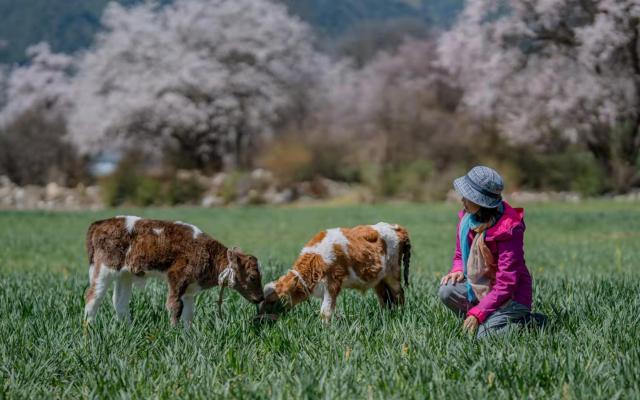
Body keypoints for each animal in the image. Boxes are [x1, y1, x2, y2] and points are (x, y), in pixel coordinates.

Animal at [84, 217, 264, 326]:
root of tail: (101, 223)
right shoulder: (177, 278)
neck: (207, 252)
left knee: (119, 302)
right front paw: (174, 332)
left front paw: (187, 336)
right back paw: (90, 330)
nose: (261, 298)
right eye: (252, 277)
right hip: (105, 269)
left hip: (124, 275)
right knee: (92, 297)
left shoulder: (189, 289)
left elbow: (188, 314)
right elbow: (174, 306)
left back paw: (128, 328)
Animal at [258, 222, 410, 322]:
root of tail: (396, 227)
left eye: (273, 300)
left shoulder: (332, 284)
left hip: (393, 273)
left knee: (399, 294)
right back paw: (385, 316)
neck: (316, 258)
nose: (260, 317)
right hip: (378, 279)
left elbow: (325, 311)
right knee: (384, 298)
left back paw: (400, 314)